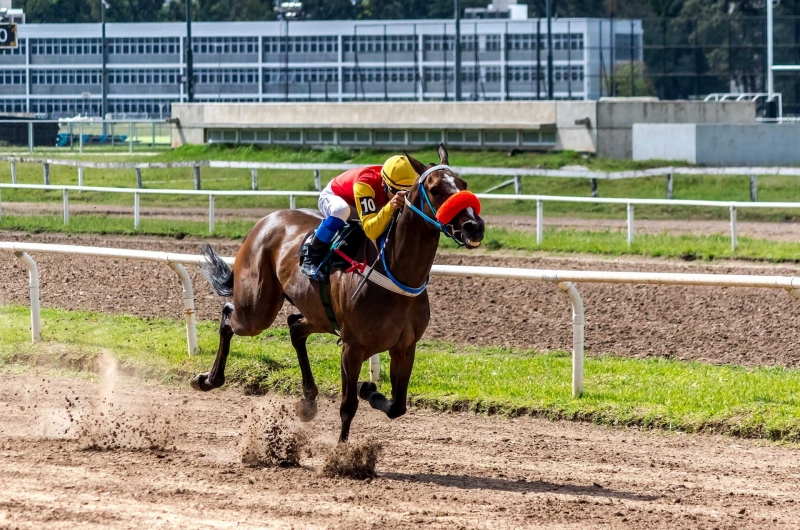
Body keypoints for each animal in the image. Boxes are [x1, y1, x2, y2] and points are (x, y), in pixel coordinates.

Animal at [192, 145, 488, 442]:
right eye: (435, 189)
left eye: (463, 184)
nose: (474, 226)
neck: (395, 272)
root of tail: (266, 220)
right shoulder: (352, 348)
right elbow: (348, 406)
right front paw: (342, 450)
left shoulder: (405, 346)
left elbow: (398, 406)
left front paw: (369, 390)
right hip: (256, 310)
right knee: (228, 315)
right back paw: (207, 379)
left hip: (318, 315)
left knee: (295, 327)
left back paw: (308, 401)